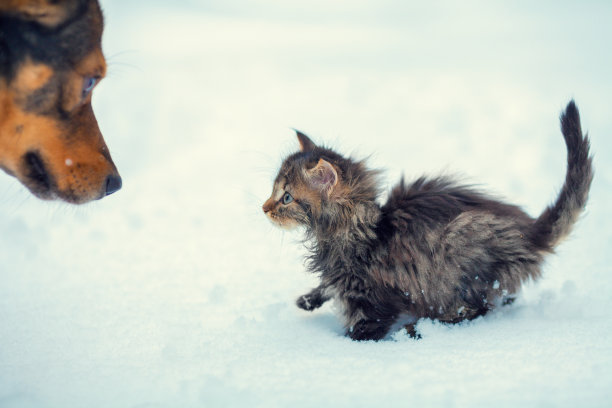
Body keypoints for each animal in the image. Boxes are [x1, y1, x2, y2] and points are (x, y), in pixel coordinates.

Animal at [262, 102, 592, 342]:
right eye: (274, 191)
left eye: (286, 197)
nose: (264, 208)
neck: (361, 231)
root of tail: (532, 232)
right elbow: (327, 285)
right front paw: (310, 298)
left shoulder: (374, 296)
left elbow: (366, 328)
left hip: (459, 254)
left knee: (479, 307)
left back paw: (422, 327)